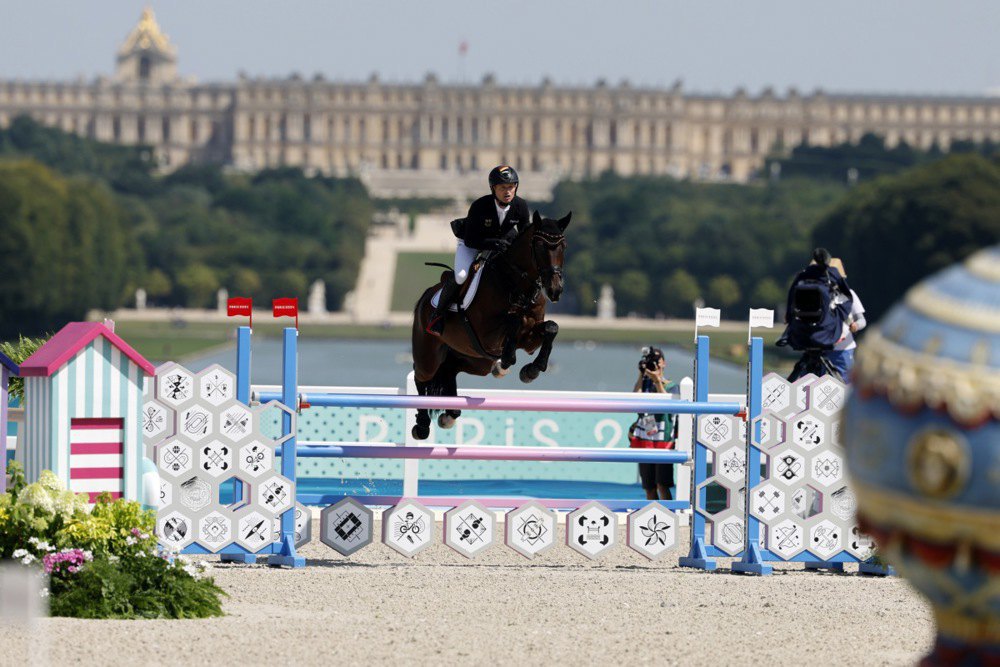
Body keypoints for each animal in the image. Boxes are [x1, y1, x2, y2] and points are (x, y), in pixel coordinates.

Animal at [410, 209, 572, 438]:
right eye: (540, 246)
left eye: (563, 246)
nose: (555, 290)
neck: (517, 284)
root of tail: (425, 297)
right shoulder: (488, 336)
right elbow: (513, 321)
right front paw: (506, 363)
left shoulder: (529, 339)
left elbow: (551, 327)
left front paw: (531, 370)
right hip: (429, 355)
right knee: (421, 376)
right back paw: (422, 425)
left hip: (476, 360)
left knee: (450, 369)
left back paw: (449, 415)